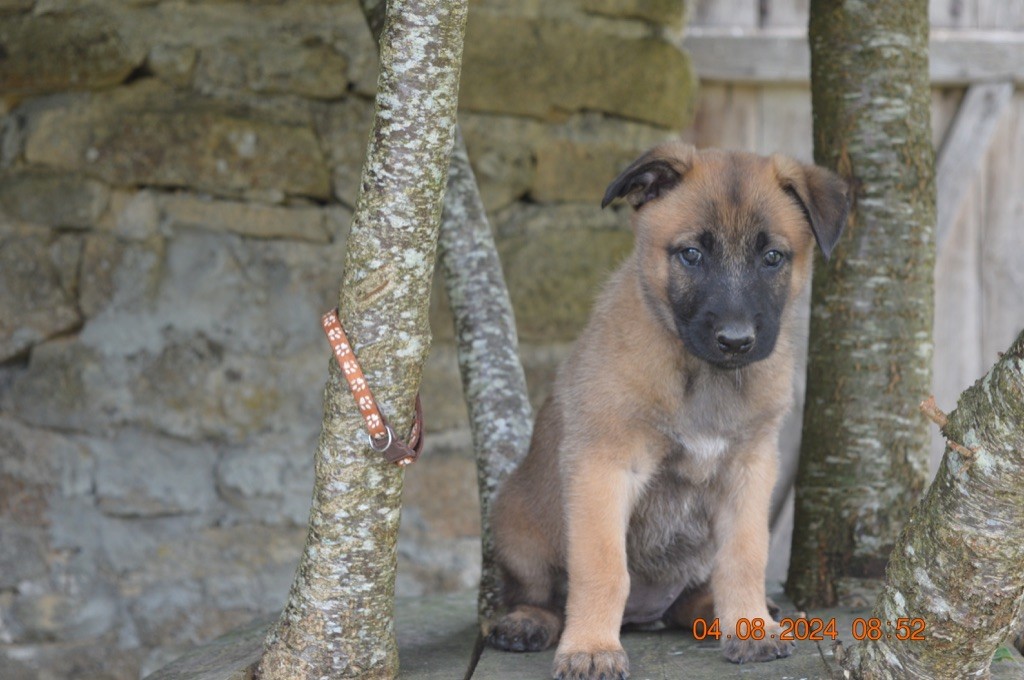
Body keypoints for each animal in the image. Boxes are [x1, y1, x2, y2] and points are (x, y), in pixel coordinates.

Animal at [487, 140, 847, 675]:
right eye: (691, 254)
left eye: (773, 257)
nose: (736, 341)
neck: (702, 377)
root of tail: (643, 616)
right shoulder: (606, 466)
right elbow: (602, 566)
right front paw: (591, 647)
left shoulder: (750, 469)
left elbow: (746, 556)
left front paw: (750, 626)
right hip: (516, 523)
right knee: (538, 593)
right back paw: (528, 621)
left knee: (691, 597)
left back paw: (719, 612)